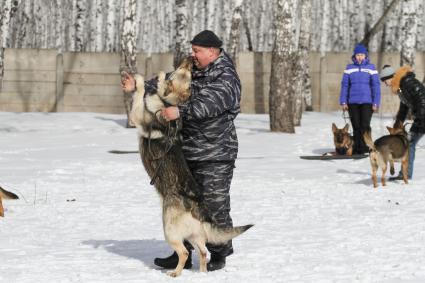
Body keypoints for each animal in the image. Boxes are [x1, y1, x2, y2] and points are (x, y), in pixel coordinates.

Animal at [128, 57, 252, 278]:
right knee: (202, 252)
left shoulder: (136, 116)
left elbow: (140, 93)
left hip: (170, 231)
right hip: (195, 235)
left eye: (180, 72)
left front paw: (141, 80)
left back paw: (175, 273)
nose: (189, 59)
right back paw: (202, 273)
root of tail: (198, 206)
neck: (169, 103)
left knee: (185, 252)